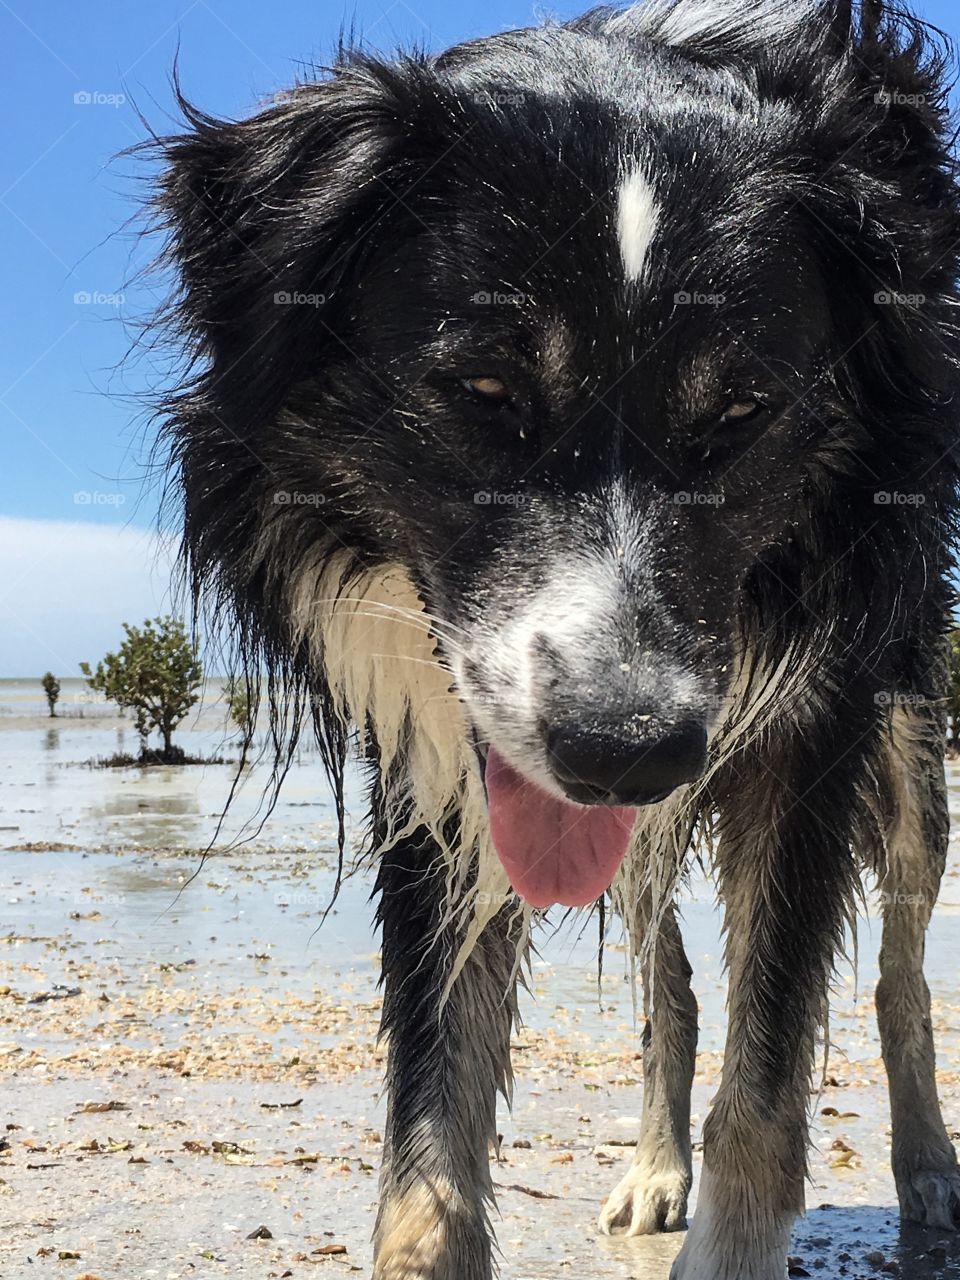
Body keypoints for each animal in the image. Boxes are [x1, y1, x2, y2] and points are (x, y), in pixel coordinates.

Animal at [150, 2, 960, 1280]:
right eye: (484, 389)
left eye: (744, 411)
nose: (626, 751)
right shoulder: (437, 750)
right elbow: (429, 1122)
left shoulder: (809, 718)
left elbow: (770, 1078)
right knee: (671, 975)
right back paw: (656, 1165)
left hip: (908, 738)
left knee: (902, 964)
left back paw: (927, 1160)